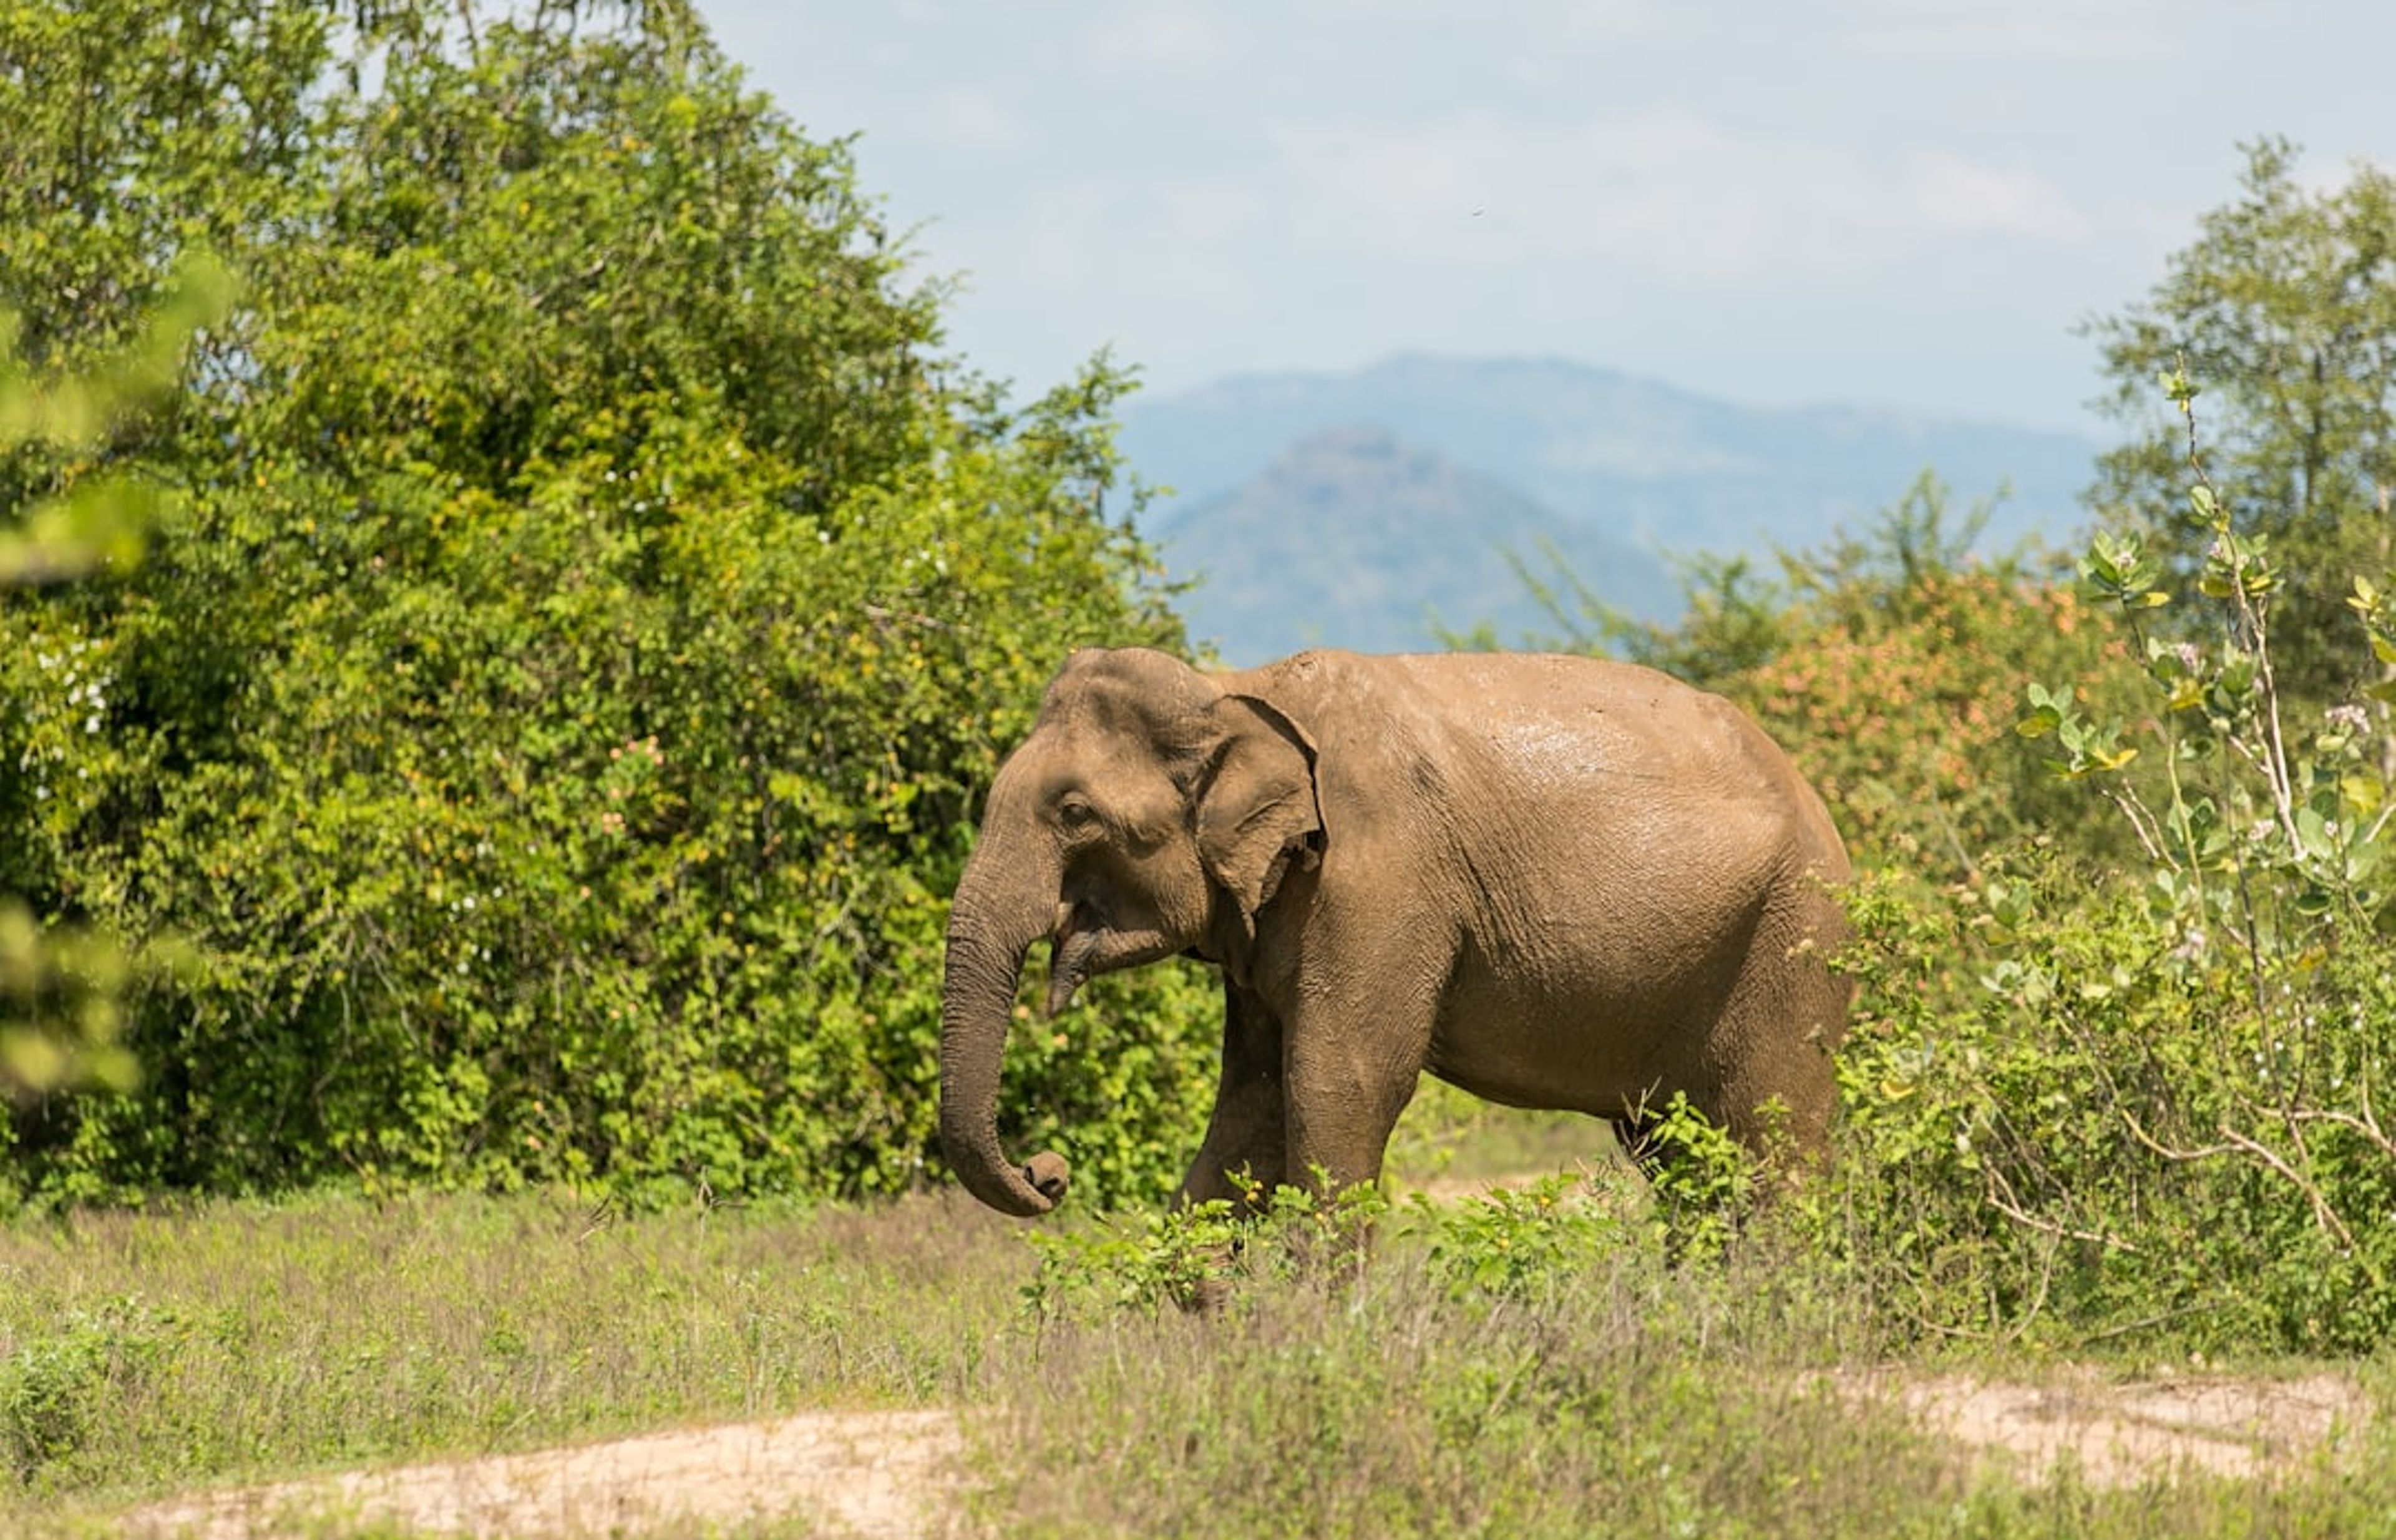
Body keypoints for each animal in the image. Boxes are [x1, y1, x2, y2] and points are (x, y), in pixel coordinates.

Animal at [938, 646, 1853, 1218]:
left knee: (1772, 1134)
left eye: (1074, 813)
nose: (1048, 1172)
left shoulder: (1378, 878)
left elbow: (1339, 1083)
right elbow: (1250, 1102)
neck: (1233, 688)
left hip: (1793, 941)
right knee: (1678, 1150)